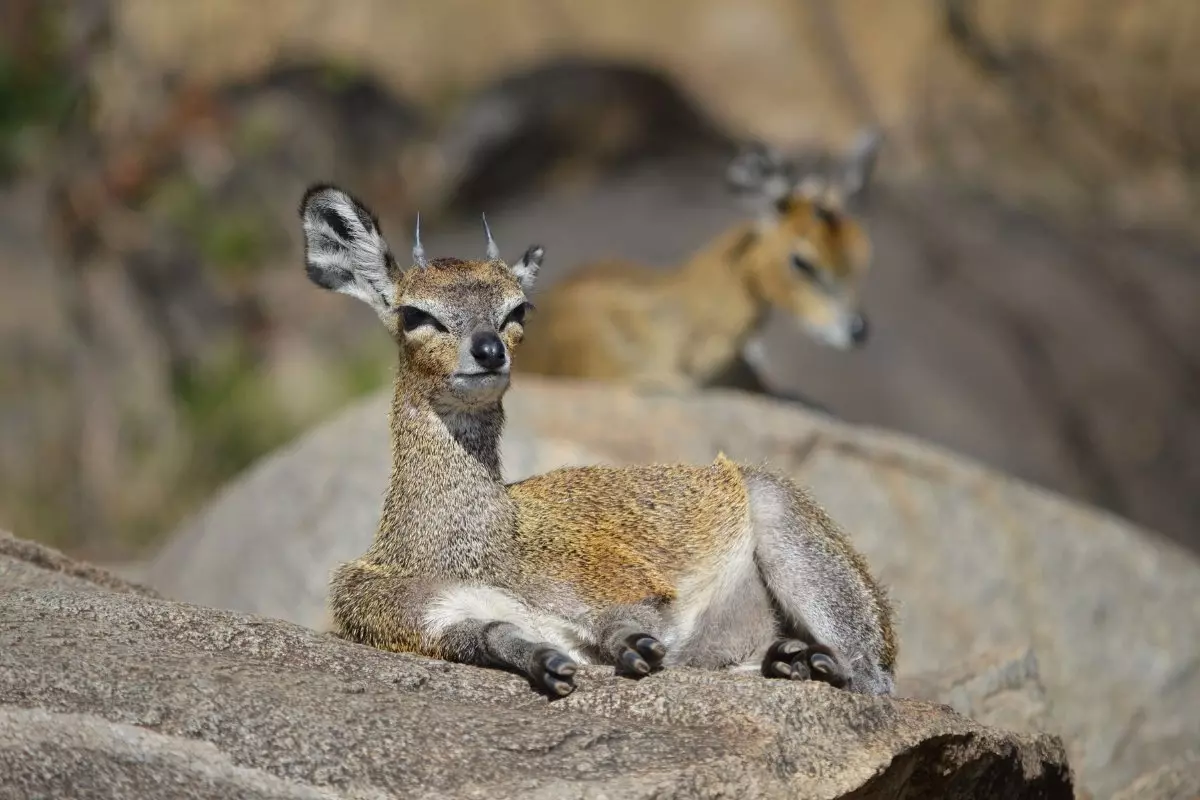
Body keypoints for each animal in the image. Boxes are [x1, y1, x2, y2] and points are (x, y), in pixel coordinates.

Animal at [300, 183, 897, 697]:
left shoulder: (614, 582)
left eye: (517, 308)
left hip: (794, 536)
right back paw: (789, 659)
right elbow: (493, 635)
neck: (468, 548)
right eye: (414, 313)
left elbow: (627, 620)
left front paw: (633, 647)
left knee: (872, 676)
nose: (489, 351)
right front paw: (547, 664)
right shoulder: (422, 619)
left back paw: (812, 661)